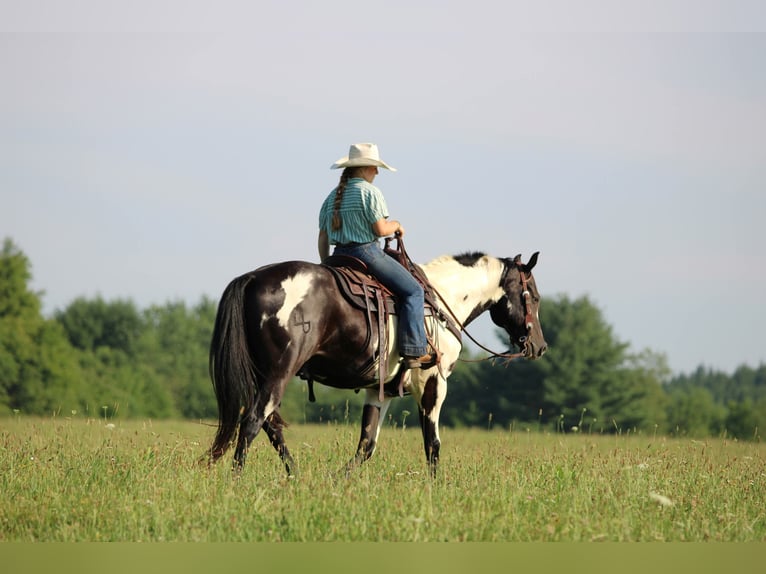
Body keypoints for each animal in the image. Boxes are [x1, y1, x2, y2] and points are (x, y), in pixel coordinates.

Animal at [207, 244, 547, 477]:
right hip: (280, 372)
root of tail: (252, 278)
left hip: (263, 375)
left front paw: (337, 481)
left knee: (270, 426)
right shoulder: (433, 382)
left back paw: (296, 476)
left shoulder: (380, 390)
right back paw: (238, 481)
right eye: (534, 296)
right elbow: (432, 444)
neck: (440, 300)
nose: (540, 346)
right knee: (252, 422)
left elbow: (366, 445)